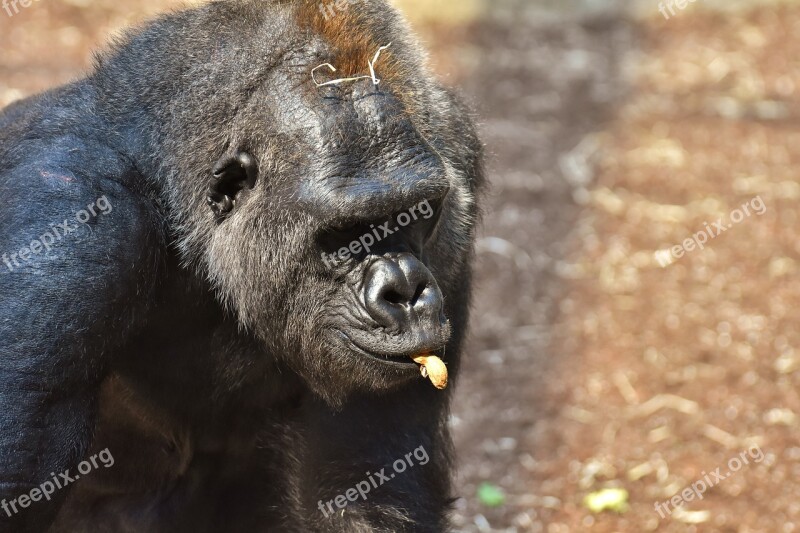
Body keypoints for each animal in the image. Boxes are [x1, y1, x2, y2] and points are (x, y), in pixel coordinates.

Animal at [0, 2, 482, 528]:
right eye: (346, 230)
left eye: (419, 211)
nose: (405, 288)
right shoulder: (70, 222)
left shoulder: (457, 155)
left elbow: (364, 484)